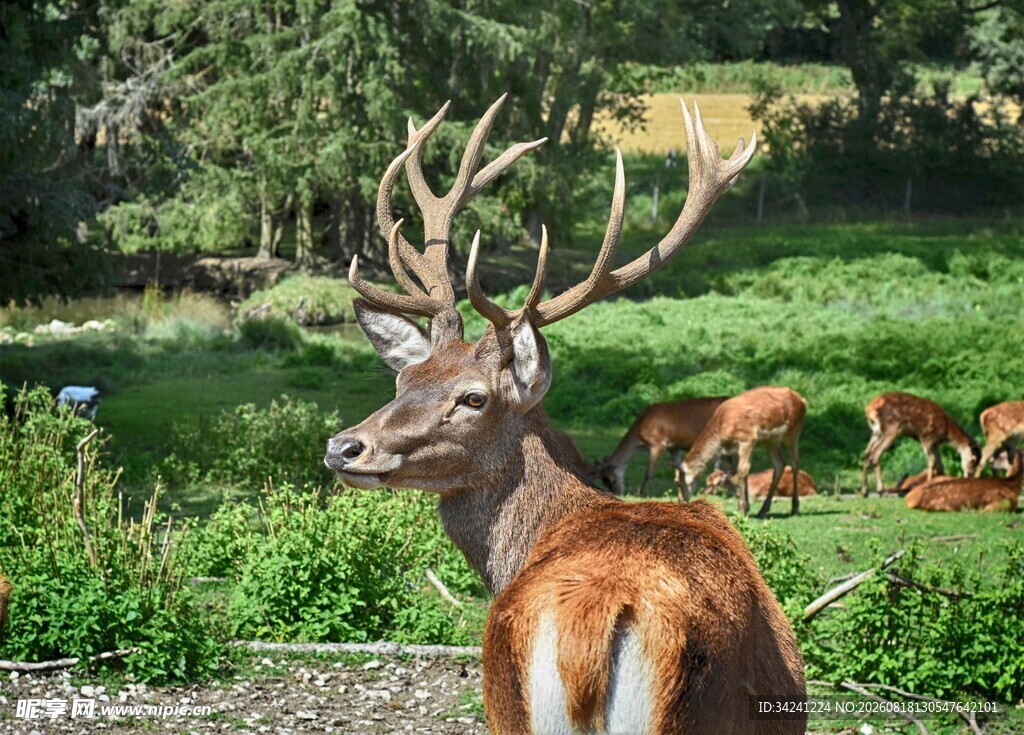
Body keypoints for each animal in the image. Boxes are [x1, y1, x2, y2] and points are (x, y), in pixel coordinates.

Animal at [596, 397, 729, 497]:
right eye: (603, 480)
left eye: (610, 480)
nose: (616, 493)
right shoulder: (673, 447)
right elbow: (678, 468)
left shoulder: (658, 444)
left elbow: (648, 473)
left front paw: (641, 494)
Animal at [680, 386, 807, 517]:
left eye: (680, 482)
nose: (681, 500)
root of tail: (802, 400)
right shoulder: (730, 451)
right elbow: (738, 471)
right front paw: (745, 507)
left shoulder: (747, 440)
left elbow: (742, 471)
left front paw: (743, 509)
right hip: (771, 441)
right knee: (780, 464)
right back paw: (763, 510)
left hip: (793, 431)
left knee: (795, 463)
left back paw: (795, 508)